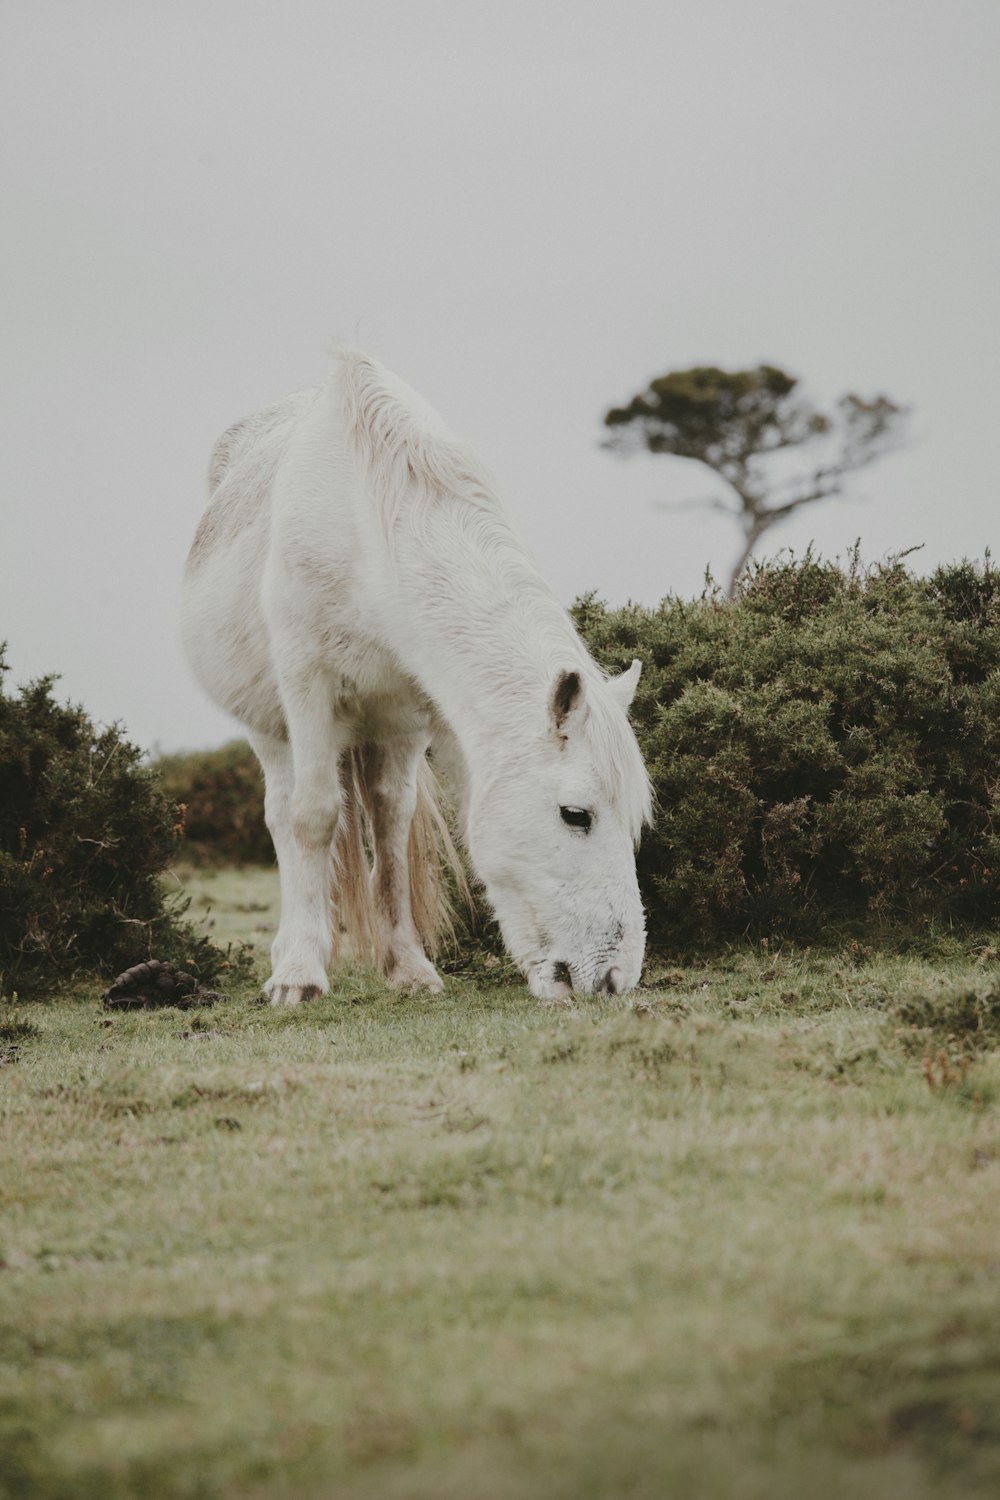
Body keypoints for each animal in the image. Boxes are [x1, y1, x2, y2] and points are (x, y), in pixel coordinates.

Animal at [179, 349, 653, 1002]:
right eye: (576, 815)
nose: (614, 979)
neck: (368, 533)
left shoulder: (418, 713)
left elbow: (396, 830)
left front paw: (411, 969)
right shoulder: (308, 690)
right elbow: (313, 818)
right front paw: (299, 976)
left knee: (383, 813)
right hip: (270, 729)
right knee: (283, 811)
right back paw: (293, 952)